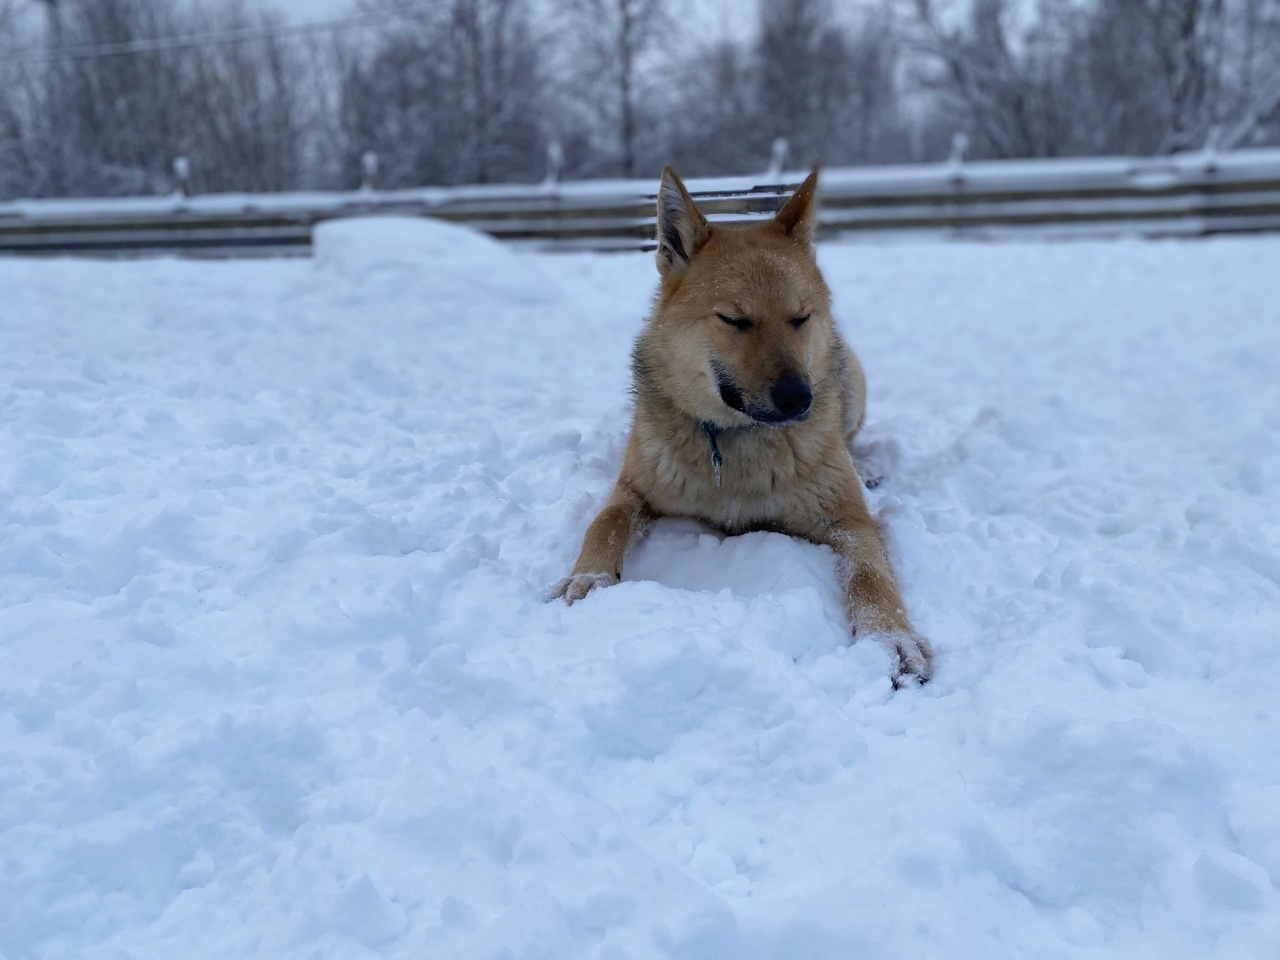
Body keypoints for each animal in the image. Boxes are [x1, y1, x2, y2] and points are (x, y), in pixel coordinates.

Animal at [547, 168, 931, 686]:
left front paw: (889, 637)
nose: (800, 399)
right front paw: (588, 577)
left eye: (800, 317)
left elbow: (871, 575)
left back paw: (865, 464)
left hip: (852, 379)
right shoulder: (634, 490)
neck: (733, 439)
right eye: (735, 319)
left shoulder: (850, 521)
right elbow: (603, 523)